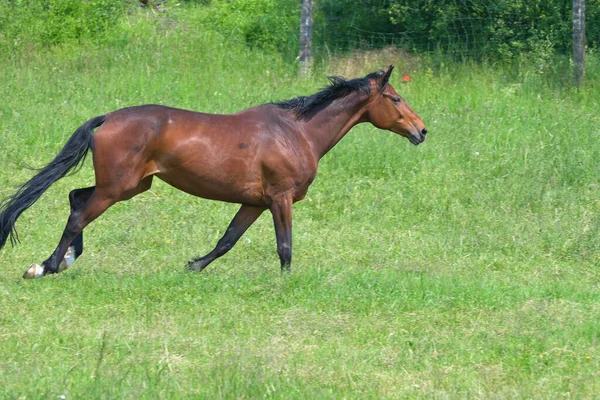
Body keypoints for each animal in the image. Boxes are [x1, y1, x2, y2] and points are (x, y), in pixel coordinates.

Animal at [0, 65, 426, 278]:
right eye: (394, 98)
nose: (422, 131)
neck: (297, 131)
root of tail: (108, 119)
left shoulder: (255, 202)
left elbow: (227, 241)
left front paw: (193, 266)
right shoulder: (281, 197)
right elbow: (285, 246)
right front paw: (287, 283)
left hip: (133, 186)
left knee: (76, 198)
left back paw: (65, 260)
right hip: (116, 188)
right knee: (78, 213)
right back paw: (45, 266)